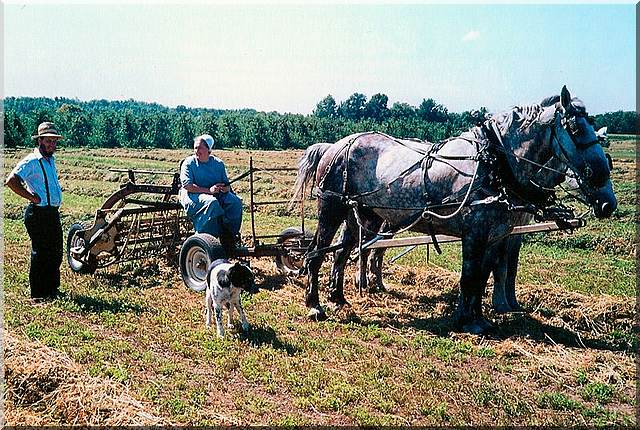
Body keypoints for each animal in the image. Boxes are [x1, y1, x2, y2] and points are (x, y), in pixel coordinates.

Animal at [294, 85, 616, 334]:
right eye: (576, 129)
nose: (608, 203)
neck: (495, 163)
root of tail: (333, 146)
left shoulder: (498, 234)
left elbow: (484, 275)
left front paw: (479, 318)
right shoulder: (475, 232)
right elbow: (470, 275)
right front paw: (468, 321)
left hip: (363, 215)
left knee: (343, 252)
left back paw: (339, 299)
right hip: (331, 208)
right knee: (316, 253)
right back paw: (315, 306)